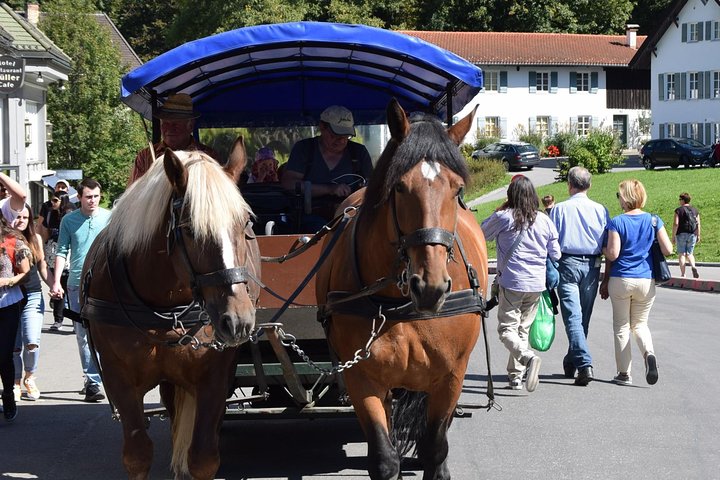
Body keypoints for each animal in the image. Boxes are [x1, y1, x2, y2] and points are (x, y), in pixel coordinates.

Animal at [81, 141, 260, 480]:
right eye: (189, 229)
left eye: (245, 224)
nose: (238, 321)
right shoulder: (119, 377)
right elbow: (137, 456)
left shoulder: (215, 377)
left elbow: (203, 457)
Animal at [316, 99, 488, 480]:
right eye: (399, 187)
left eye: (457, 190)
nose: (431, 286)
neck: (399, 302)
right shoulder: (362, 377)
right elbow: (384, 457)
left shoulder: (450, 377)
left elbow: (434, 447)